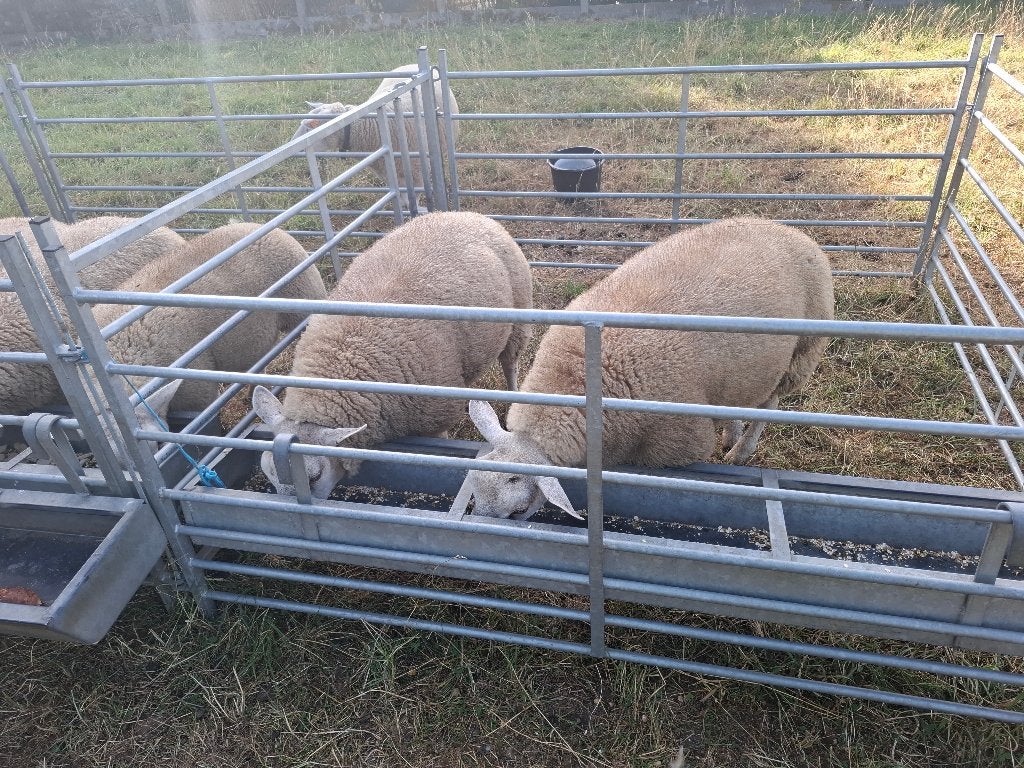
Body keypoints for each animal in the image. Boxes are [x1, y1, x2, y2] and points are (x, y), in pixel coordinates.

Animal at [252, 210, 533, 499]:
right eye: (269, 475)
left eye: (315, 477)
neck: (345, 361)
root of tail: (465, 214)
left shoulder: (436, 414)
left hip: (519, 316)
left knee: (510, 363)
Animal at [291, 64, 459, 214]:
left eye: (308, 128)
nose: (293, 145)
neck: (371, 126)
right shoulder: (387, 171)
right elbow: (403, 198)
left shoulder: (417, 170)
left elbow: (414, 197)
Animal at [465, 217, 836, 520]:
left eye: (518, 512)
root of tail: (791, 231)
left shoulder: (679, 444)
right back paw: (732, 433)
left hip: (801, 353)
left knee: (770, 403)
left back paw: (741, 451)